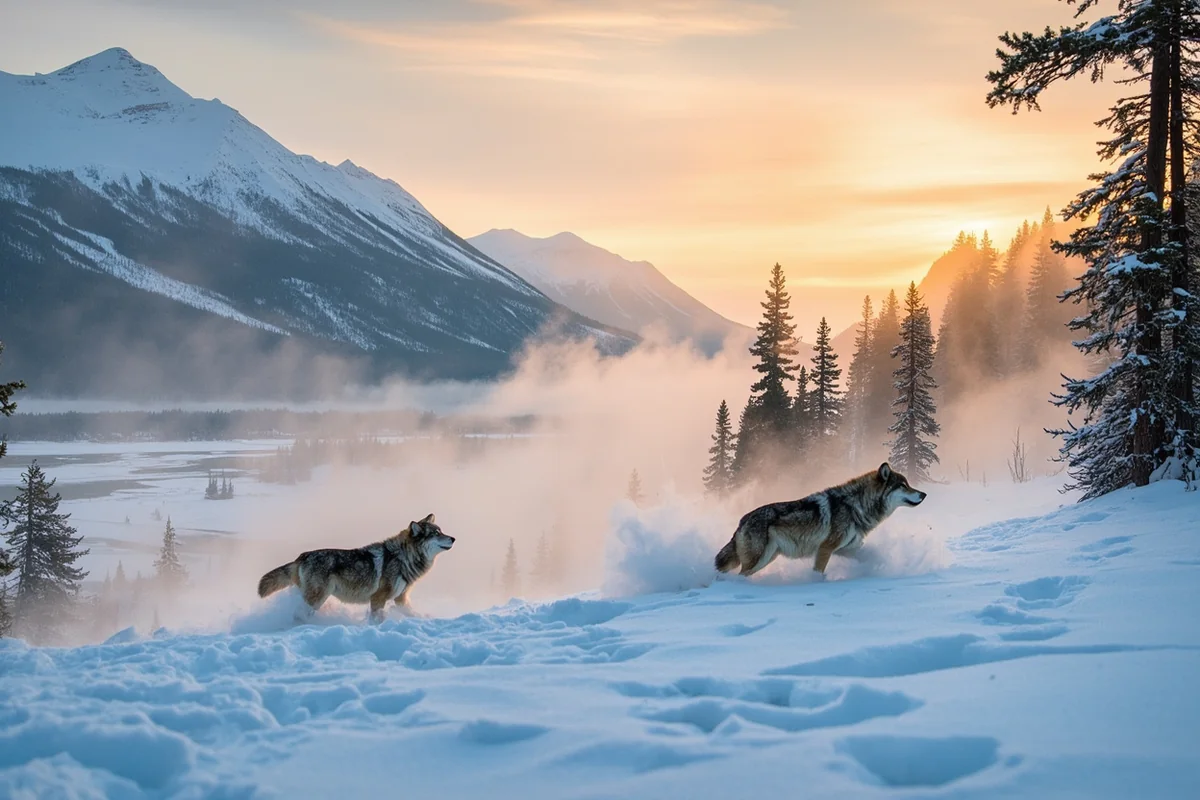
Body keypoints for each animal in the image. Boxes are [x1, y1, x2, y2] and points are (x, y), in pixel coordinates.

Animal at [257, 513, 454, 622]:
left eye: (441, 530)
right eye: (436, 533)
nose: (453, 538)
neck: (402, 557)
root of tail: (301, 556)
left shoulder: (401, 599)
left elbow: (413, 613)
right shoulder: (378, 599)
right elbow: (377, 620)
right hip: (317, 598)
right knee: (298, 615)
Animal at [714, 463, 926, 577]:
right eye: (903, 485)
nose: (923, 494)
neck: (855, 506)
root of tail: (742, 521)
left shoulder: (845, 549)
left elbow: (868, 556)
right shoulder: (825, 549)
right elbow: (818, 571)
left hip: (768, 558)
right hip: (760, 559)